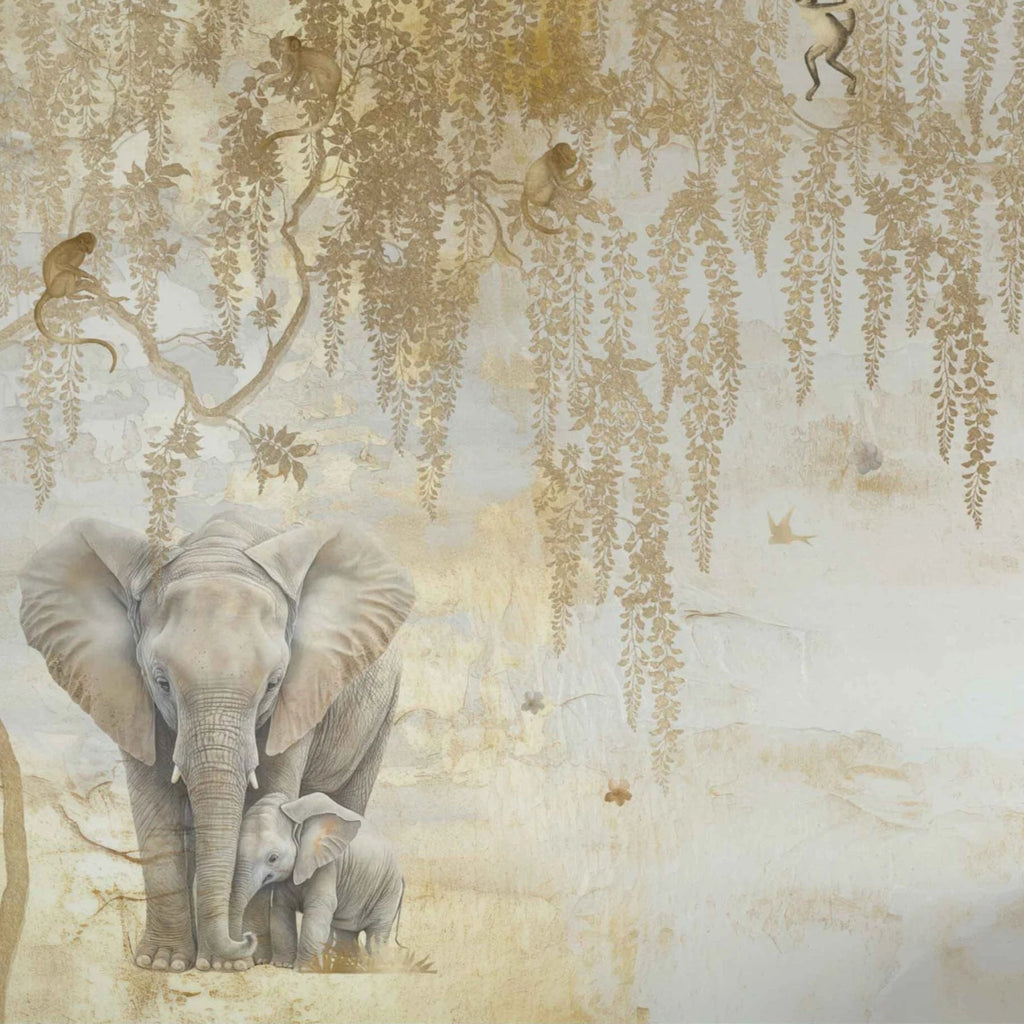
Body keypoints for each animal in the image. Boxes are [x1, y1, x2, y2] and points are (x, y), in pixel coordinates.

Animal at [230, 791, 403, 970]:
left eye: (273, 858)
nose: (248, 936)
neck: (295, 810)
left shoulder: (328, 866)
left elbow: (318, 907)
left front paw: (303, 970)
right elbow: (281, 908)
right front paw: (282, 965)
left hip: (388, 891)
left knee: (376, 936)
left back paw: (378, 968)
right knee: (346, 934)